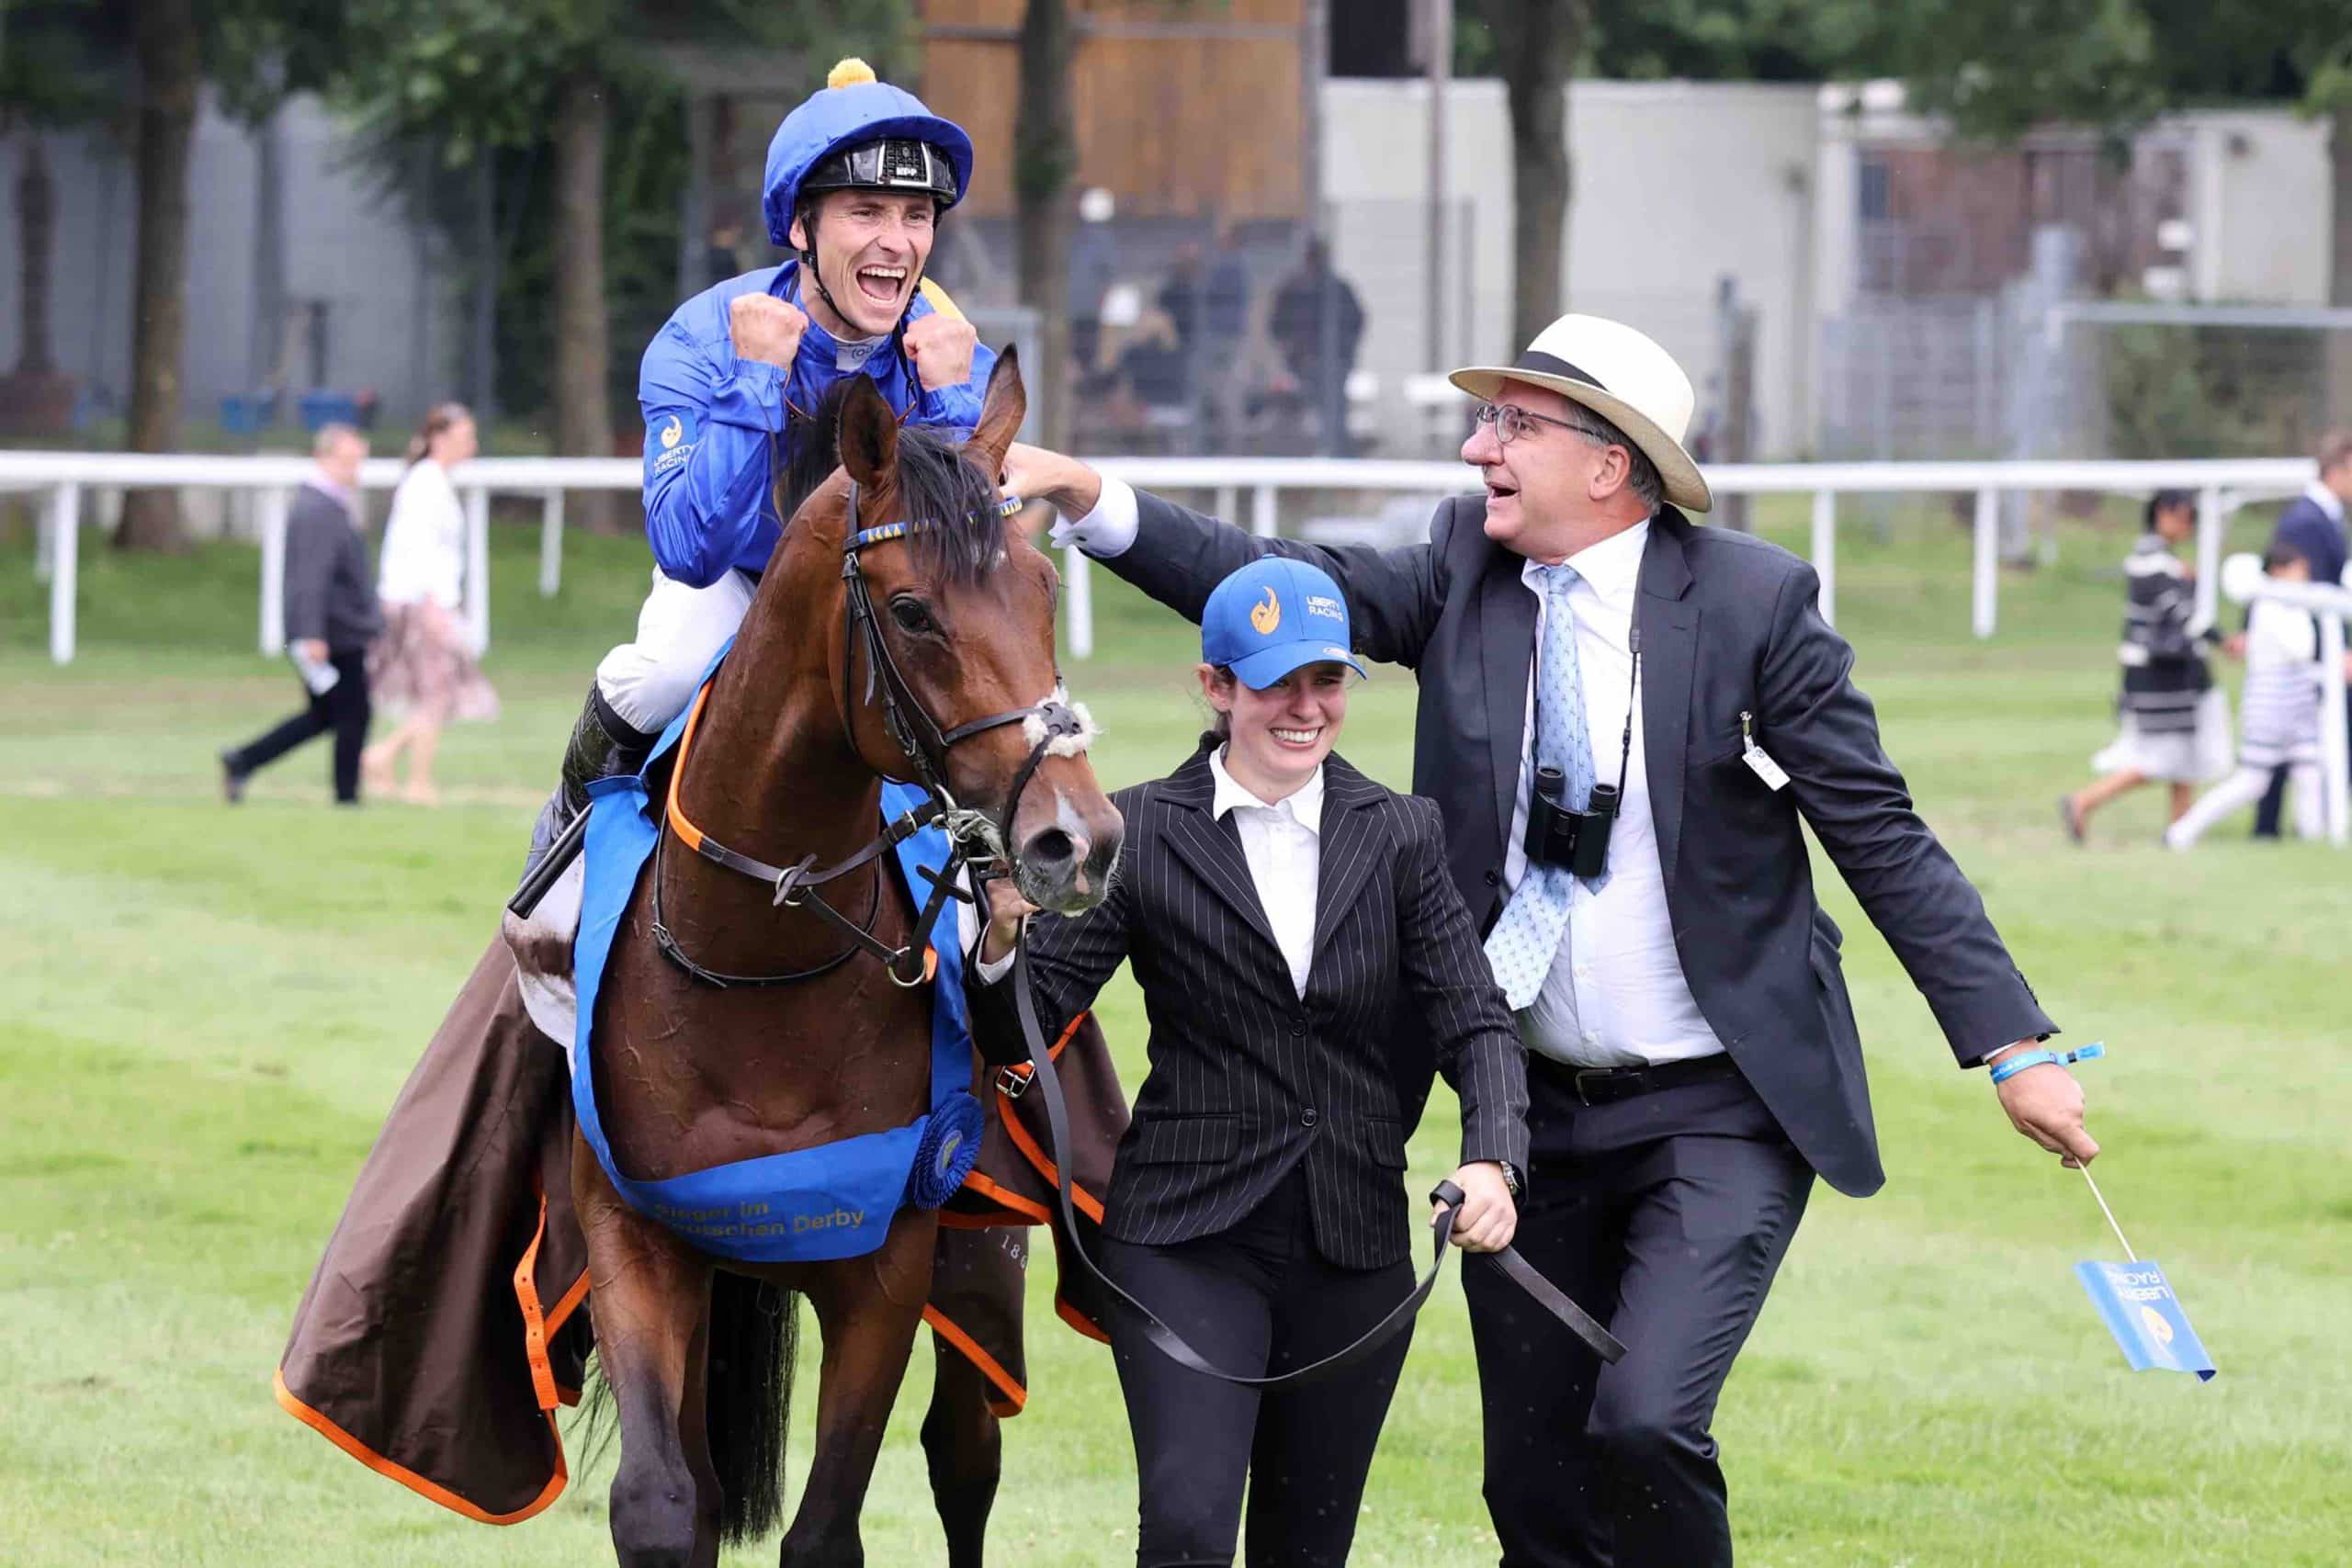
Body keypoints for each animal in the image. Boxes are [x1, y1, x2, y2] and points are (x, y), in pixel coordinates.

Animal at [573, 355, 1114, 1568]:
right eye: (912, 610)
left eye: (1041, 590)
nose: (1077, 837)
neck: (757, 967)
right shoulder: (638, 1233)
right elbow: (664, 1503)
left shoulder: (886, 1260)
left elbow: (827, 1529)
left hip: (978, 1258)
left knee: (965, 1451)